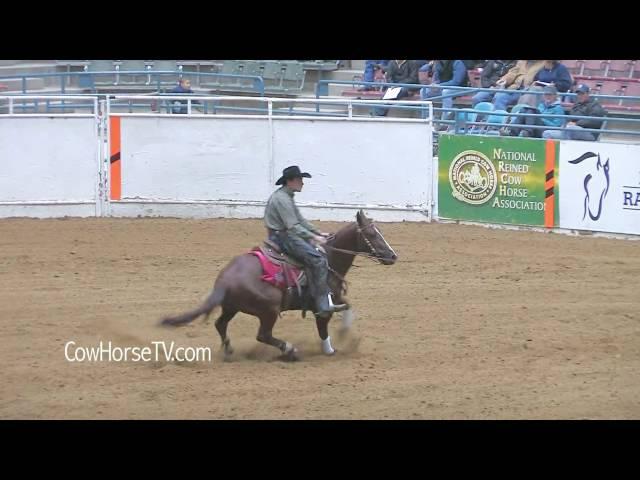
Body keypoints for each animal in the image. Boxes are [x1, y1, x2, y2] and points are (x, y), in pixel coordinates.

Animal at [160, 210, 398, 360]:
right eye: (371, 234)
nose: (392, 256)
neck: (329, 259)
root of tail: (224, 278)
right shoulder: (322, 307)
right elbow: (324, 329)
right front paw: (330, 350)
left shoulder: (337, 298)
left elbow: (348, 307)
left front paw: (345, 332)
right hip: (269, 309)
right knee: (262, 335)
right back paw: (290, 350)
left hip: (231, 307)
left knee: (220, 324)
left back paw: (228, 351)